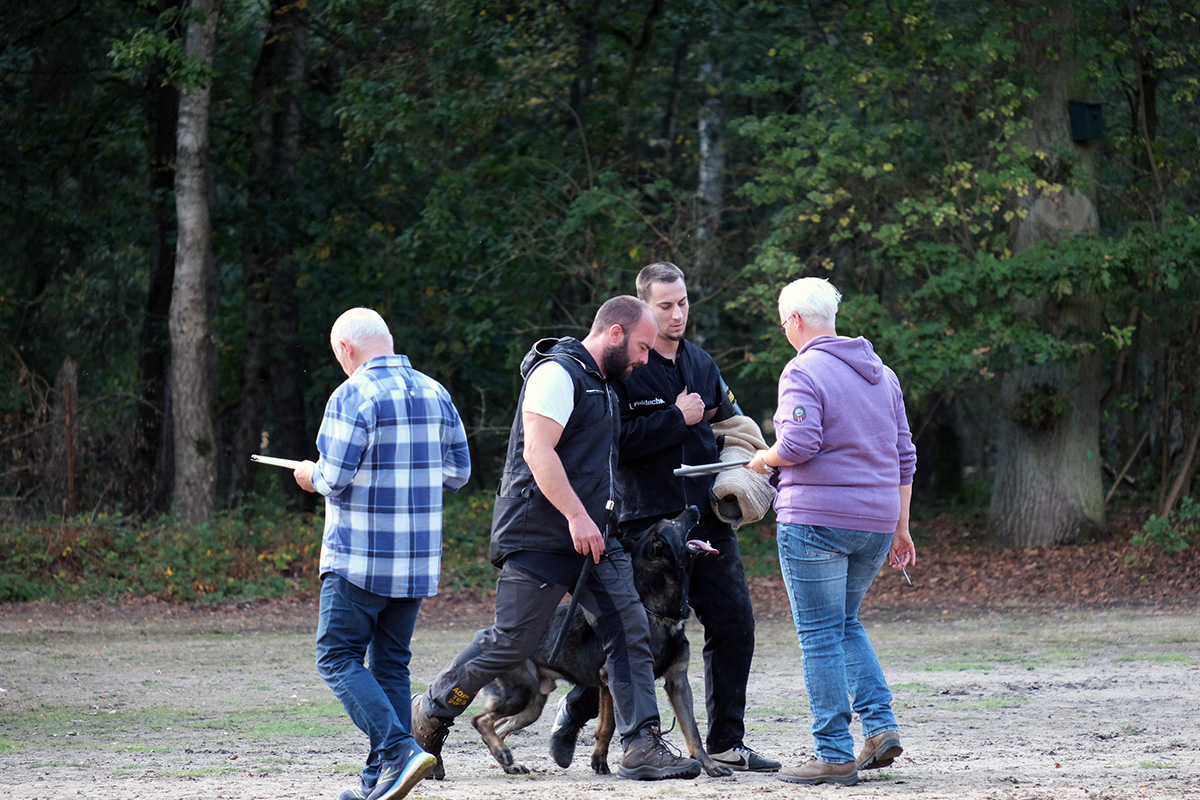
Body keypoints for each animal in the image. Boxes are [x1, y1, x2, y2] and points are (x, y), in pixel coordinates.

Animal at [470, 506, 729, 777]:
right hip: (521, 693)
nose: (695, 508)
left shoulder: (677, 682)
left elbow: (692, 730)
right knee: (481, 720)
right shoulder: (613, 678)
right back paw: (503, 753)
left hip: (532, 704)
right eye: (673, 521)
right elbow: (608, 726)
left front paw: (710, 765)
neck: (657, 612)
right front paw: (603, 761)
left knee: (499, 726)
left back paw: (508, 762)